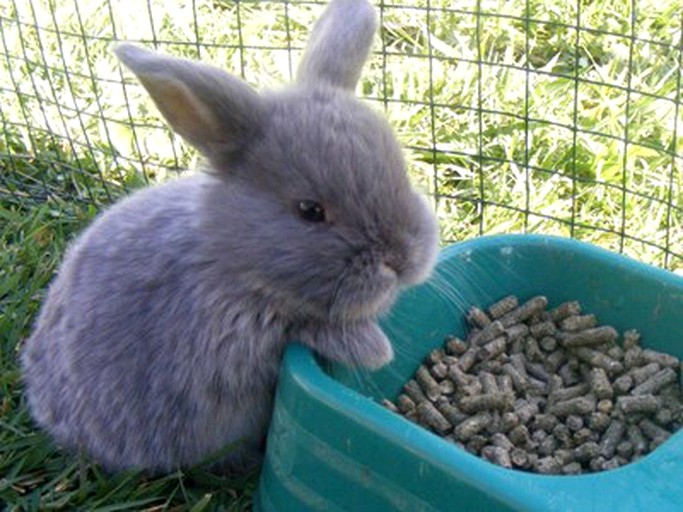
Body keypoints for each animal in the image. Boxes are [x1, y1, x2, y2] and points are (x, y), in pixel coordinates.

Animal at [21, 0, 440, 474]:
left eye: (402, 172)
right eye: (310, 211)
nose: (402, 259)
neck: (231, 258)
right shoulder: (245, 341)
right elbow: (312, 330)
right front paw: (377, 349)